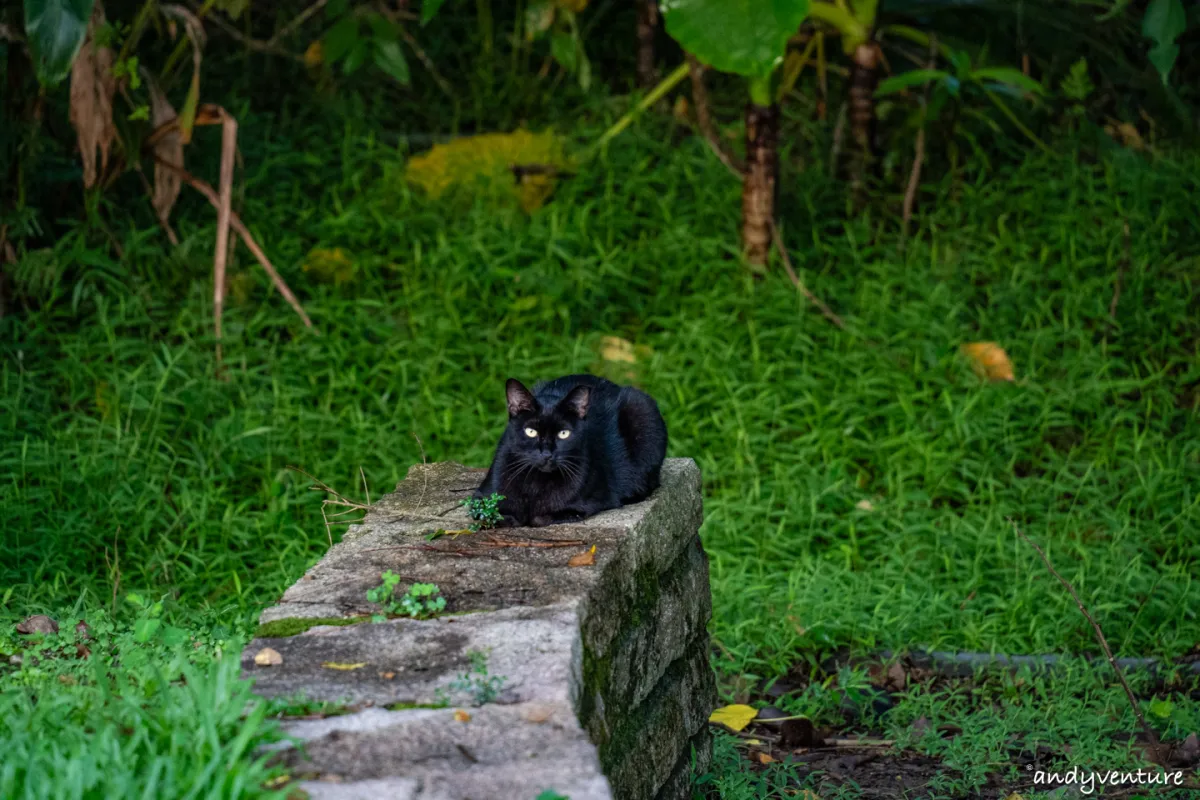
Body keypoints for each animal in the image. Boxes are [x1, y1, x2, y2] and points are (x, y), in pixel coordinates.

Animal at [475, 374, 667, 527]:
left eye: (563, 433)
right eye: (531, 431)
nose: (547, 454)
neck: (536, 482)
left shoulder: (584, 504)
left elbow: (540, 517)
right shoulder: (481, 498)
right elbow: (497, 515)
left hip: (641, 409)